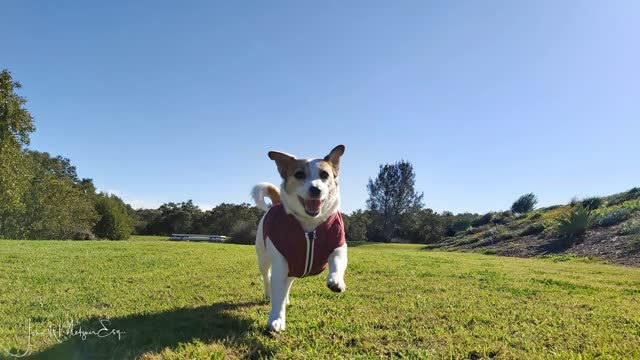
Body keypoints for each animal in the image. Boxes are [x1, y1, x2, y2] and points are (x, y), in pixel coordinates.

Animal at [252, 146, 348, 332]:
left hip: (295, 267)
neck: (309, 224)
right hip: (264, 258)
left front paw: (336, 281)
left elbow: (337, 261)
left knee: (287, 284)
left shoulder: (338, 245)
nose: (316, 189)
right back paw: (268, 293)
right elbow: (277, 295)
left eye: (324, 174)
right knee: (267, 276)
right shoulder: (280, 264)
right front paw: (276, 319)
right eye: (299, 174)